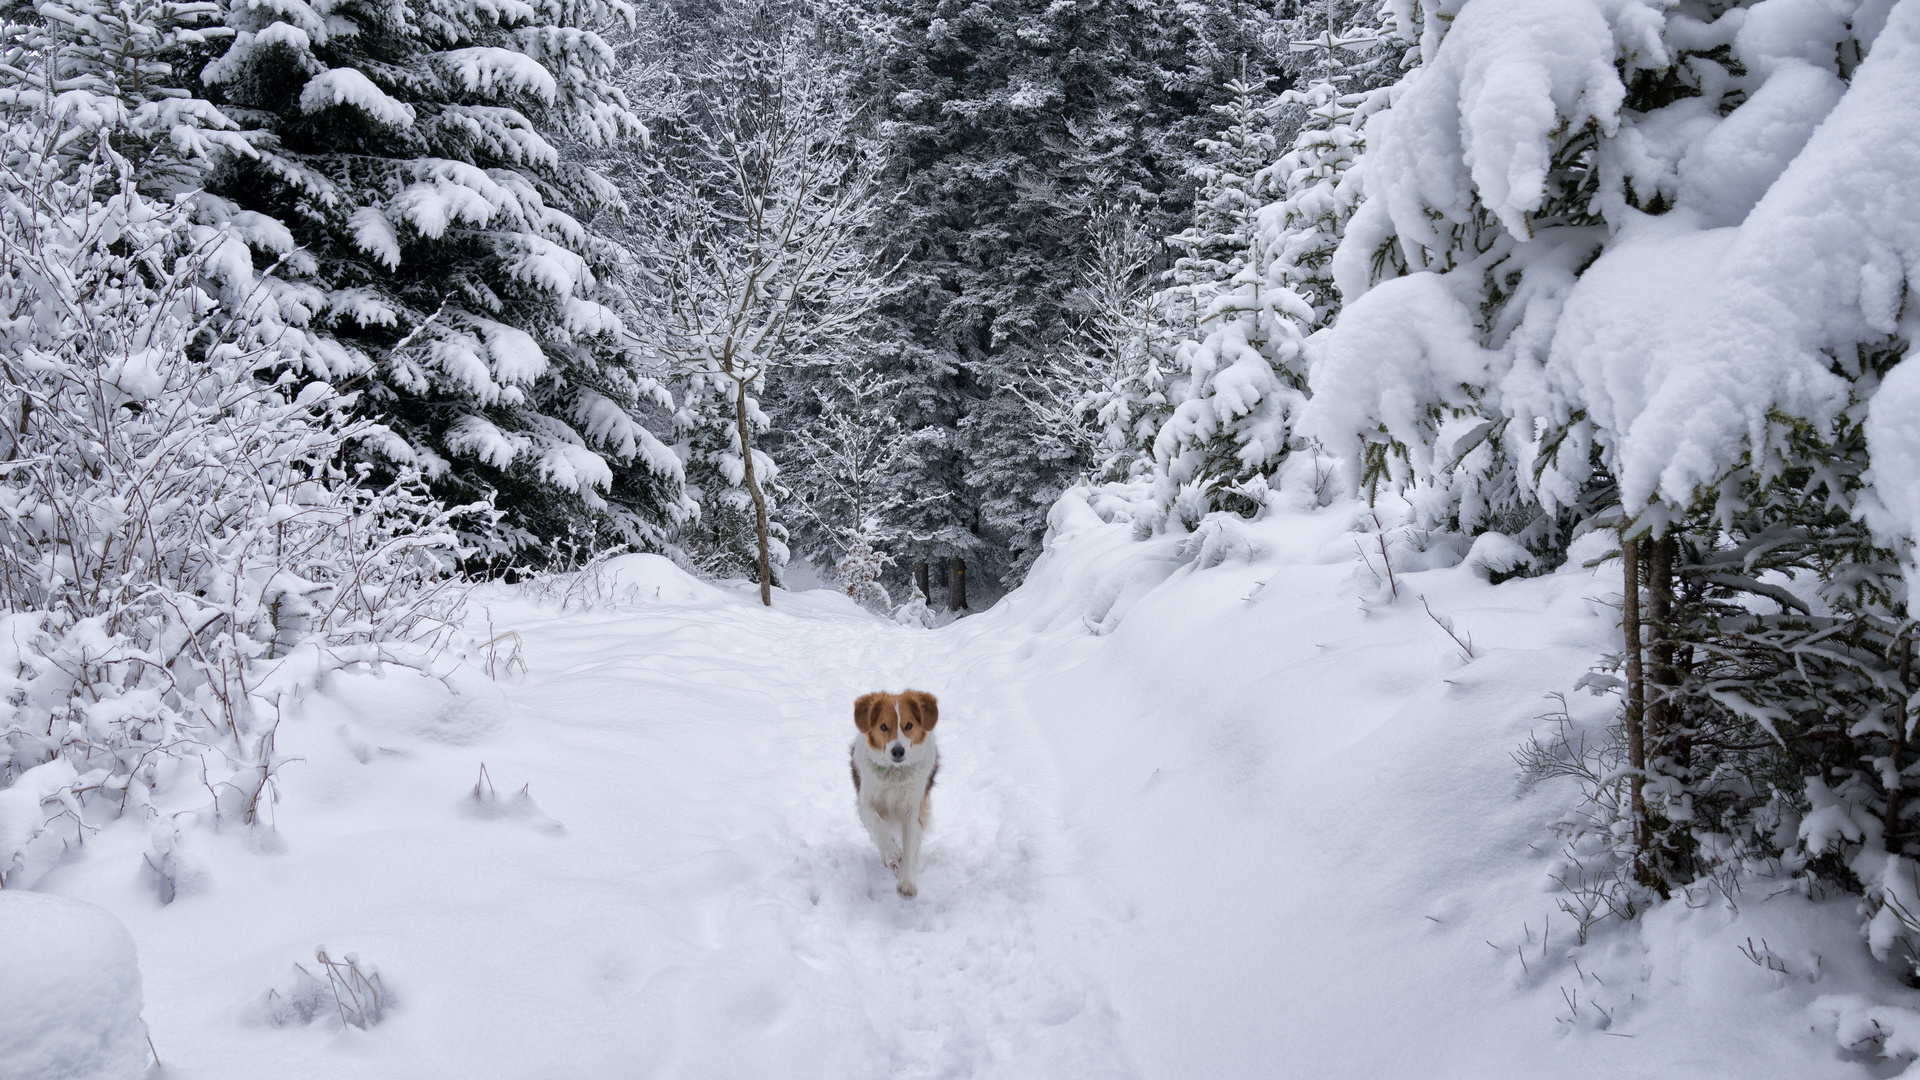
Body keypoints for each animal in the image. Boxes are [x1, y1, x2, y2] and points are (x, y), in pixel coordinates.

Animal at [856, 684, 944, 895]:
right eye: (883, 727)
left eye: (909, 725)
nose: (898, 751)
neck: (894, 774)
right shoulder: (865, 803)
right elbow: (877, 825)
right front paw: (891, 853)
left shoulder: (914, 810)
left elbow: (910, 845)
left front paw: (906, 882)